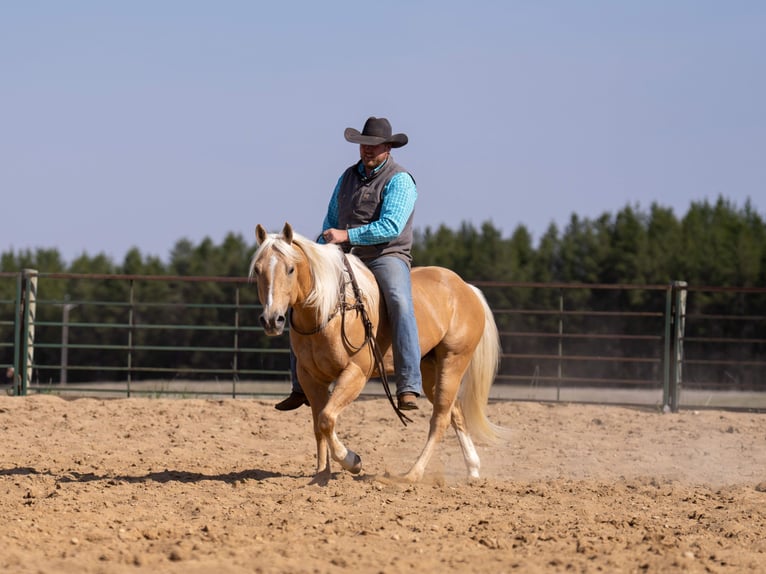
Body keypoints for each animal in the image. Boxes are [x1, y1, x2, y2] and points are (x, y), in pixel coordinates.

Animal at [249, 222, 507, 483]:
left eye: (290, 269)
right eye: (258, 270)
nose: (272, 319)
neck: (332, 309)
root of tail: (467, 289)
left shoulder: (355, 373)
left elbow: (326, 419)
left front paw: (352, 461)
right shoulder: (310, 378)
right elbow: (318, 425)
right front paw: (321, 475)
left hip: (453, 361)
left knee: (440, 419)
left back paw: (412, 474)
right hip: (429, 370)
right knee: (455, 412)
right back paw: (472, 469)